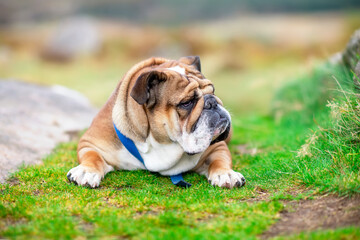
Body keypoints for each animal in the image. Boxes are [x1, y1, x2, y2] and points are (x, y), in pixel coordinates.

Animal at [66, 56, 246, 189]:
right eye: (186, 103)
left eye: (213, 91)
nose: (212, 102)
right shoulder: (91, 142)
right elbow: (92, 156)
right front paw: (86, 171)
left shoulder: (217, 146)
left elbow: (219, 159)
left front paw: (226, 173)